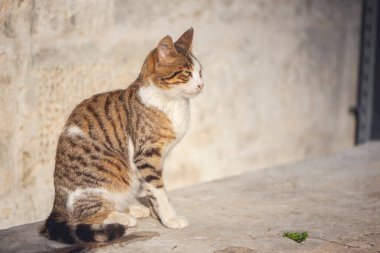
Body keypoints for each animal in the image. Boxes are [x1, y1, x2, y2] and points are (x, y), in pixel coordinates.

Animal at [40, 28, 203, 245]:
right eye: (186, 74)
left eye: (200, 72)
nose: (201, 85)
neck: (172, 101)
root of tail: (56, 201)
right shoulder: (146, 155)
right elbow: (159, 190)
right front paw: (170, 218)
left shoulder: (156, 159)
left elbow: (153, 189)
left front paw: (157, 214)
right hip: (104, 175)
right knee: (82, 215)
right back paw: (123, 217)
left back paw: (133, 208)